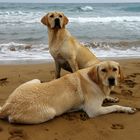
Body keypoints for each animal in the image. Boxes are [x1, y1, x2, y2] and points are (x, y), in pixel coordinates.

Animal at [0, 60, 136, 124]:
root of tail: (7, 106)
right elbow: (115, 107)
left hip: (35, 80)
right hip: (50, 113)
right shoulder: (94, 111)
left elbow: (107, 98)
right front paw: (127, 109)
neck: (95, 81)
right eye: (103, 70)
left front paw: (111, 98)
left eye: (115, 69)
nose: (112, 79)